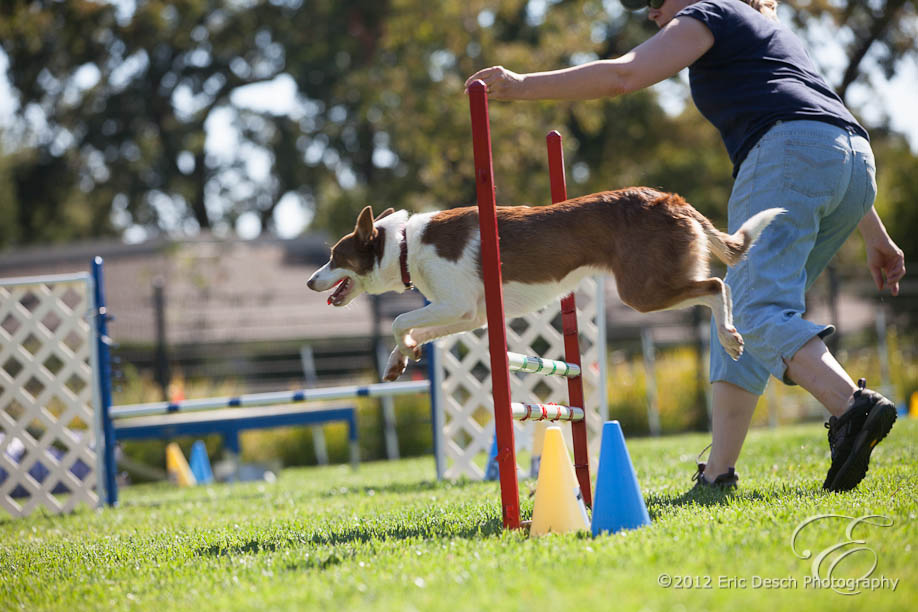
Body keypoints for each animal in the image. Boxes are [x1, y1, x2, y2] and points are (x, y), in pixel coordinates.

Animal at [308, 189, 784, 380]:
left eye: (335, 257)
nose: (311, 281)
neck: (406, 244)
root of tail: (669, 199)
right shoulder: (470, 314)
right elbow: (415, 330)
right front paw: (401, 359)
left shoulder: (456, 304)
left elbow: (398, 321)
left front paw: (403, 351)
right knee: (719, 284)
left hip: (641, 291)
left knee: (715, 285)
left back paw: (729, 338)